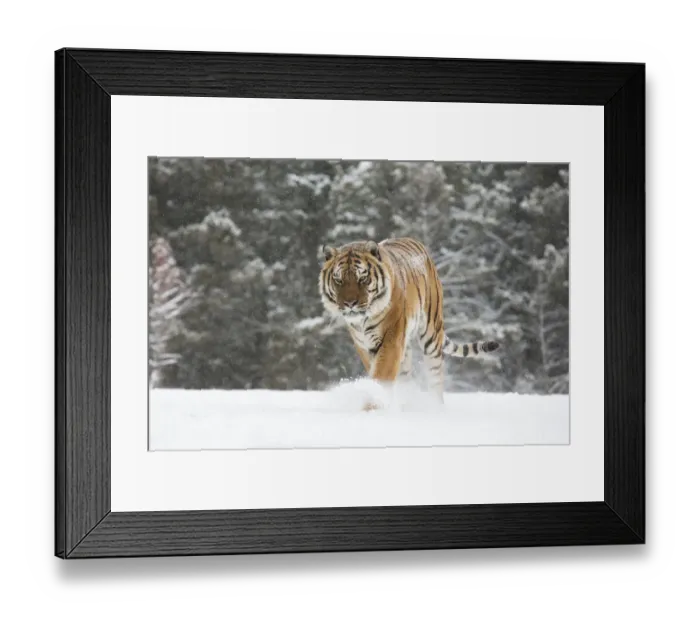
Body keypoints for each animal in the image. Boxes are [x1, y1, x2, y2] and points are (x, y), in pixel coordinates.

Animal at [319, 237, 500, 410]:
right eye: (338, 280)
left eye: (362, 278)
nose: (350, 303)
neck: (362, 320)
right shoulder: (363, 344)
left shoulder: (391, 339)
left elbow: (381, 374)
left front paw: (372, 405)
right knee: (405, 377)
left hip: (431, 335)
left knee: (435, 377)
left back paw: (435, 408)